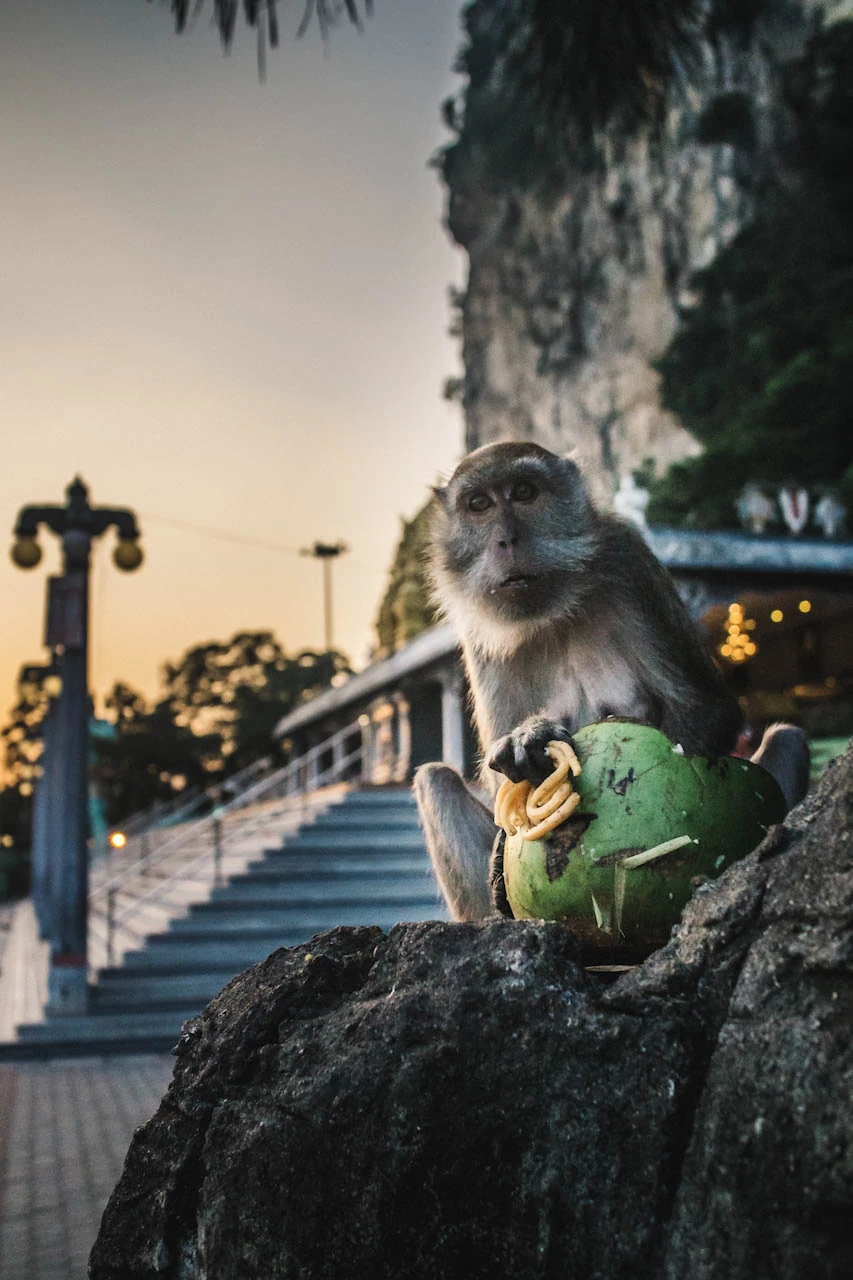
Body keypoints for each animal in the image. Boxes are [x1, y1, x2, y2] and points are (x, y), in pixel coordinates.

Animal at [414, 442, 810, 922]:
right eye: (479, 505)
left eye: (524, 492)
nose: (506, 541)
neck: (554, 613)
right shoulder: (476, 632)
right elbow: (496, 777)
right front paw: (527, 743)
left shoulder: (630, 560)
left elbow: (707, 708)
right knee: (435, 778)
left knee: (789, 737)